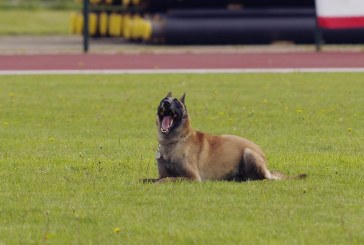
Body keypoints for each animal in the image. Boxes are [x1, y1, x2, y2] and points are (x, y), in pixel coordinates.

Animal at [144, 93, 306, 183]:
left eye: (176, 101)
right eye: (164, 99)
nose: (166, 102)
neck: (174, 141)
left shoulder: (193, 178)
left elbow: (167, 179)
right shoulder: (161, 174)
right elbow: (149, 179)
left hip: (248, 153)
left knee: (265, 179)